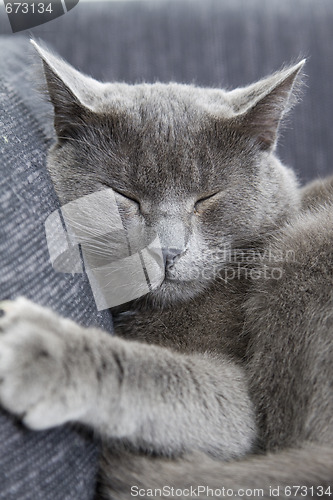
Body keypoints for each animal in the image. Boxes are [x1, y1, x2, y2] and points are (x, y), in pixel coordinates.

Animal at [0, 41, 330, 498]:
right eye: (124, 195)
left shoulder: (241, 407)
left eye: (207, 197)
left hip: (307, 243)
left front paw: (45, 350)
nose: (169, 250)